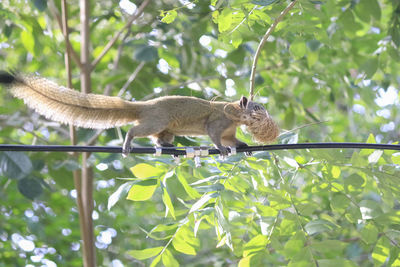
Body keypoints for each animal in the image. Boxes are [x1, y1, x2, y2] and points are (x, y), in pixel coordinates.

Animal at [0, 72, 278, 158]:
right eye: (255, 108)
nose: (265, 114)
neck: (234, 113)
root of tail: (145, 106)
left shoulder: (229, 129)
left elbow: (233, 140)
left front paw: (245, 146)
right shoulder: (218, 122)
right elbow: (215, 136)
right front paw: (220, 149)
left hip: (164, 128)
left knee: (158, 140)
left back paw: (169, 147)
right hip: (156, 121)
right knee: (136, 130)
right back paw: (128, 143)